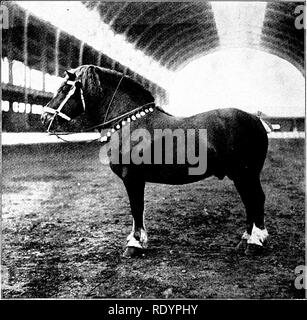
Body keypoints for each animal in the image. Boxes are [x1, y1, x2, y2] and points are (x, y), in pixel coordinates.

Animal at [41, 64, 270, 258]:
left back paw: (254, 242)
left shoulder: (132, 178)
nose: (44, 117)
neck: (129, 123)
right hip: (241, 175)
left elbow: (136, 208)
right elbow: (138, 210)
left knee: (256, 199)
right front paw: (139, 240)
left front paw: (134, 245)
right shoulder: (136, 179)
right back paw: (246, 239)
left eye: (65, 88)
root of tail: (256, 119)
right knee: (250, 201)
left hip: (245, 173)